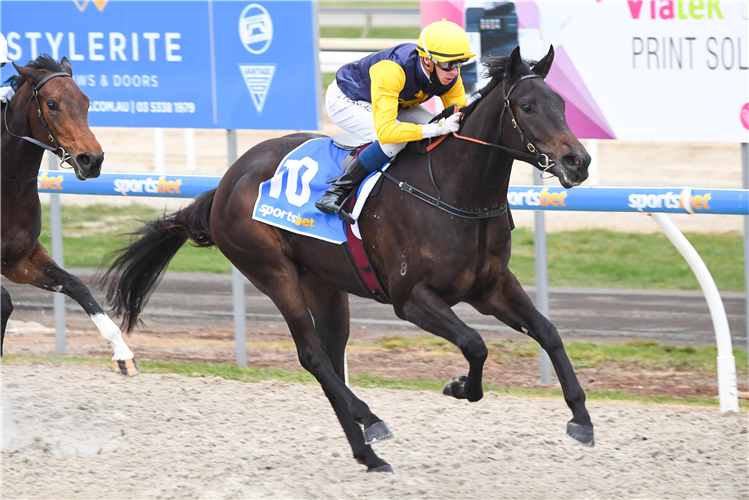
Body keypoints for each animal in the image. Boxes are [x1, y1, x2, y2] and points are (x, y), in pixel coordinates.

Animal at [0, 54, 138, 376]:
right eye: (52, 104)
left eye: (86, 101)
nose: (92, 160)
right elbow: (5, 301)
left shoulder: (20, 259)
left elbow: (77, 286)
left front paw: (123, 353)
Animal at [101, 46, 592, 468]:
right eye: (527, 107)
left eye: (562, 104)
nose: (579, 161)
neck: (455, 191)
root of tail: (225, 182)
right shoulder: (412, 299)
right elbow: (475, 344)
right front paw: (458, 387)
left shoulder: (491, 287)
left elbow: (548, 333)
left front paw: (581, 419)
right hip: (272, 271)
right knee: (312, 356)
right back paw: (369, 418)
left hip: (324, 283)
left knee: (332, 357)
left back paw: (367, 448)